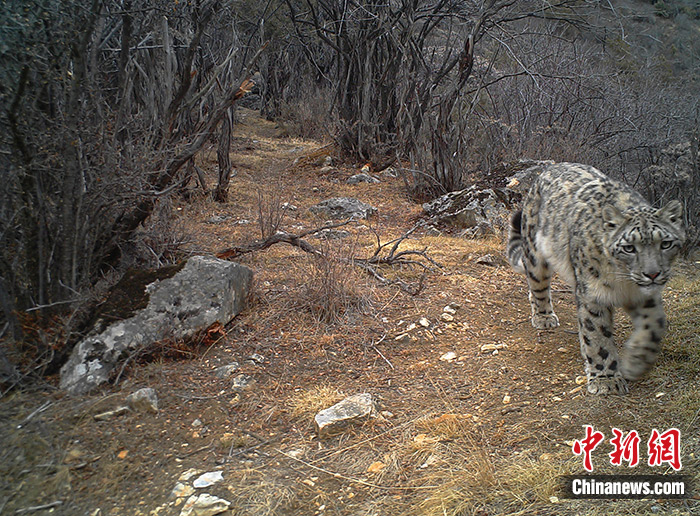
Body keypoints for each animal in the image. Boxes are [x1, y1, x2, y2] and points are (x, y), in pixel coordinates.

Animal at [506, 163, 688, 394]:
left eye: (665, 243)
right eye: (629, 247)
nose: (652, 274)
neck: (625, 283)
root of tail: (549, 168)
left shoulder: (646, 297)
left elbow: (654, 325)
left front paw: (636, 361)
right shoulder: (593, 294)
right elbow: (597, 336)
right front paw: (606, 380)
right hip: (535, 253)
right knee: (538, 286)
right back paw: (544, 317)